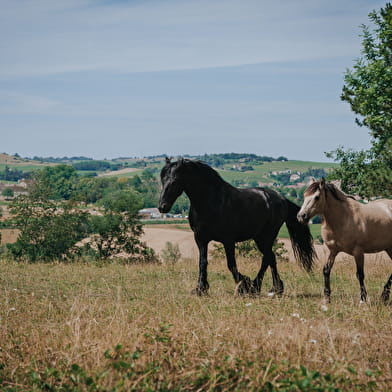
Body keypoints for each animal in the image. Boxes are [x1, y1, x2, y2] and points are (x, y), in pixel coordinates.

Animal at [158, 158, 314, 296]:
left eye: (174, 180)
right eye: (162, 180)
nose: (162, 207)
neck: (211, 202)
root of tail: (282, 199)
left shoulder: (228, 240)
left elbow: (231, 264)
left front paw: (243, 285)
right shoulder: (201, 239)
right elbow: (202, 262)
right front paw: (200, 289)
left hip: (266, 236)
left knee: (267, 258)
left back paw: (257, 286)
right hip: (259, 237)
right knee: (271, 258)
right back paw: (273, 288)